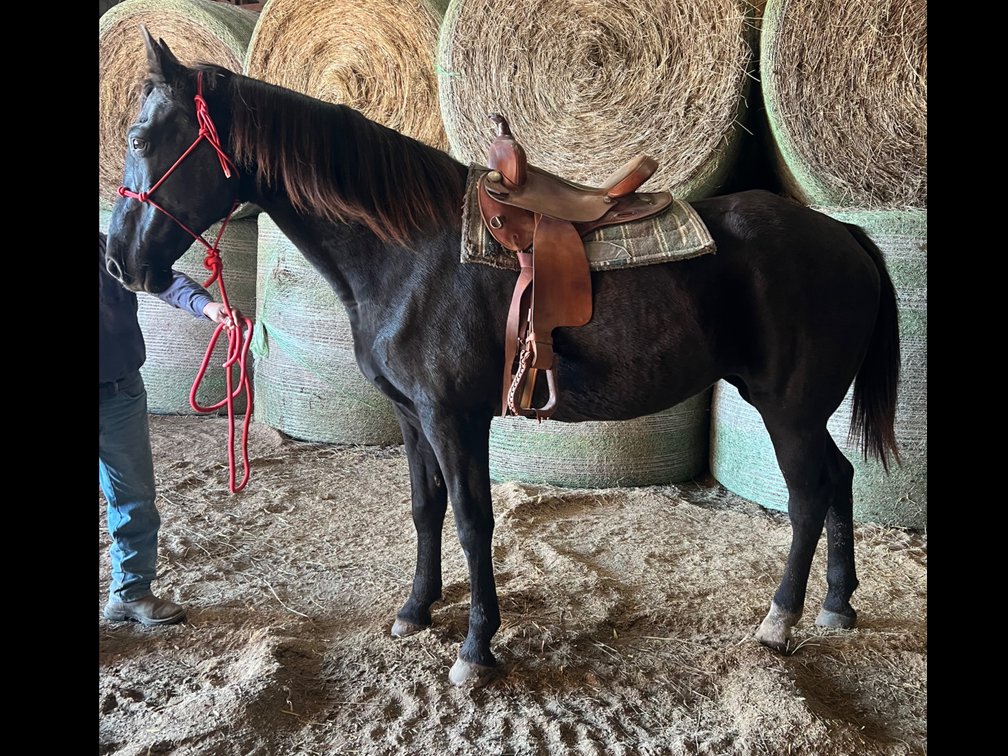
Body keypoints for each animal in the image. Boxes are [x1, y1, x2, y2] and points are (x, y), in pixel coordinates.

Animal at [105, 29, 900, 687]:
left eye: (142, 136)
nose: (120, 263)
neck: (412, 252)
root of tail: (843, 233)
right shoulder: (412, 417)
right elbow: (425, 510)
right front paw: (415, 611)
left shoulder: (454, 417)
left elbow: (471, 519)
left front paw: (476, 647)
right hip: (805, 412)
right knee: (839, 478)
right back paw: (837, 605)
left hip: (788, 410)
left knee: (808, 494)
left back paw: (780, 621)